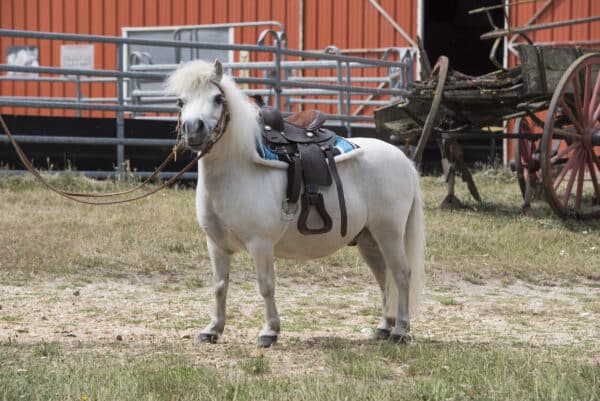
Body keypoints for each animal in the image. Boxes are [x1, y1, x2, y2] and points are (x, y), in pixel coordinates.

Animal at [166, 59, 424, 346]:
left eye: (218, 98)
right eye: (180, 101)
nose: (193, 129)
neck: (239, 168)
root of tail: (404, 161)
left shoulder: (261, 244)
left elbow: (266, 285)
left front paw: (269, 331)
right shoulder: (216, 245)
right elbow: (220, 286)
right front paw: (213, 329)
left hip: (389, 233)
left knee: (401, 274)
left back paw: (400, 330)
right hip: (369, 238)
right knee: (383, 277)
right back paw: (384, 327)